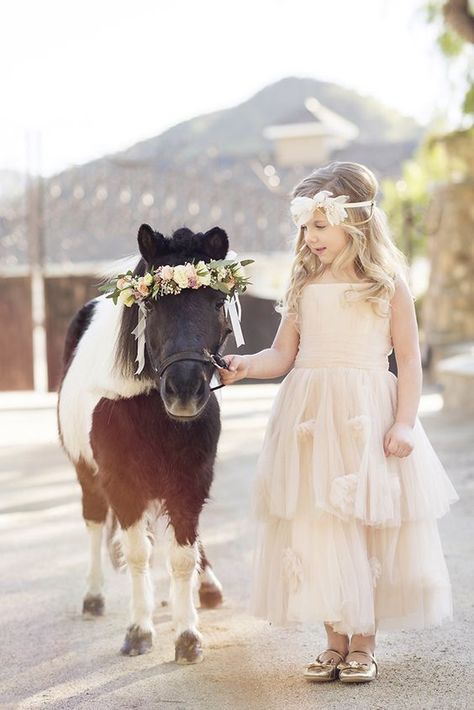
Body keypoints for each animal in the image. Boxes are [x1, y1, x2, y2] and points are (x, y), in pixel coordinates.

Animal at [58, 225, 236, 664]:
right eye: (151, 306)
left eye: (216, 302)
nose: (185, 392)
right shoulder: (122, 484)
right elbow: (138, 553)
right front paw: (139, 630)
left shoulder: (191, 479)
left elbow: (183, 554)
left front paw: (188, 635)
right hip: (86, 473)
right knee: (93, 522)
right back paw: (93, 596)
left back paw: (207, 587)